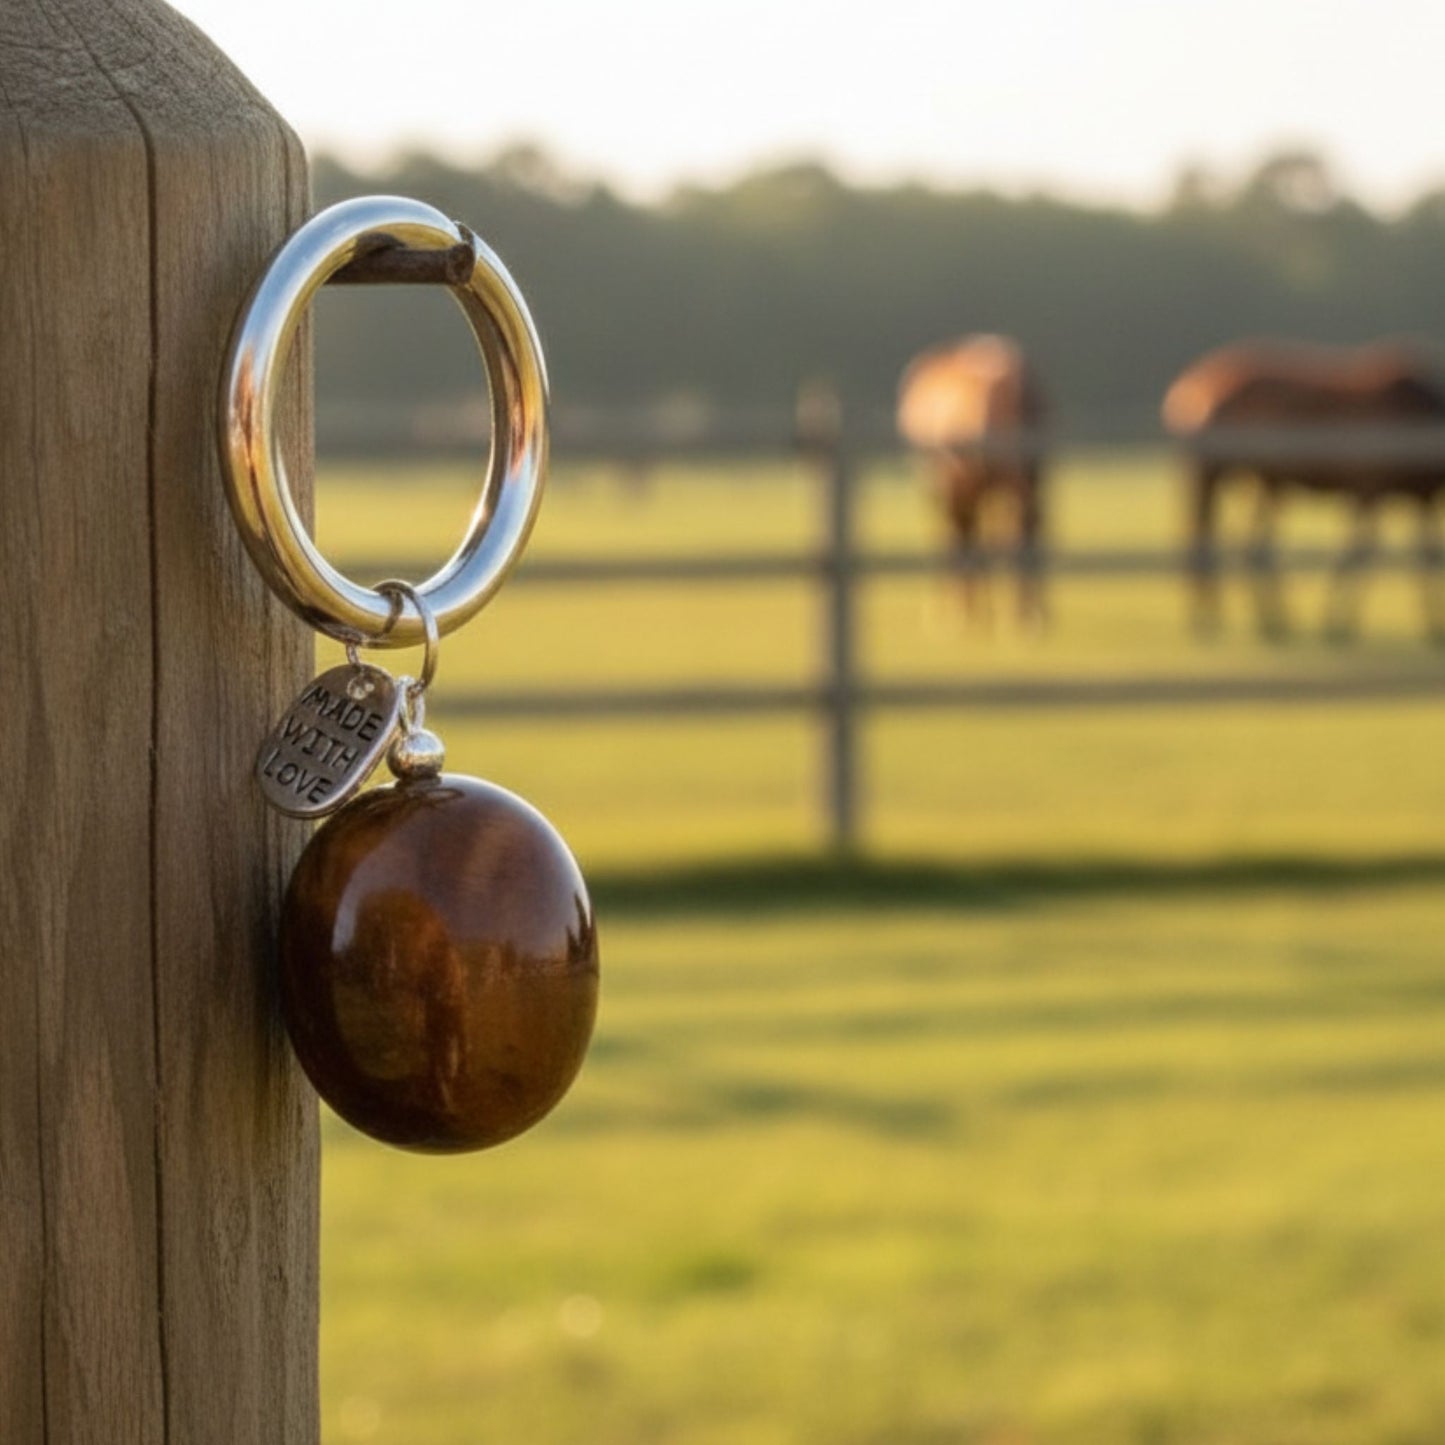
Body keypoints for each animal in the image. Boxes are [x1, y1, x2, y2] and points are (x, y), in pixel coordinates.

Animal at [896, 335, 1046, 627]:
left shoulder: (951, 483)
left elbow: (962, 535)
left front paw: (964, 610)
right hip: (1027, 475)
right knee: (1026, 526)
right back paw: (1032, 612)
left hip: (984, 479)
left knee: (981, 531)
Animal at [1162, 341, 1445, 640]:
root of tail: (1195, 385)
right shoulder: (1369, 493)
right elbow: (1358, 554)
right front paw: (1335, 623)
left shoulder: (1422, 499)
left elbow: (1428, 557)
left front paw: (1434, 626)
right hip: (1213, 474)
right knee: (1213, 542)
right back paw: (1227, 620)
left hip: (1264, 484)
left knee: (1249, 548)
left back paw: (1264, 621)